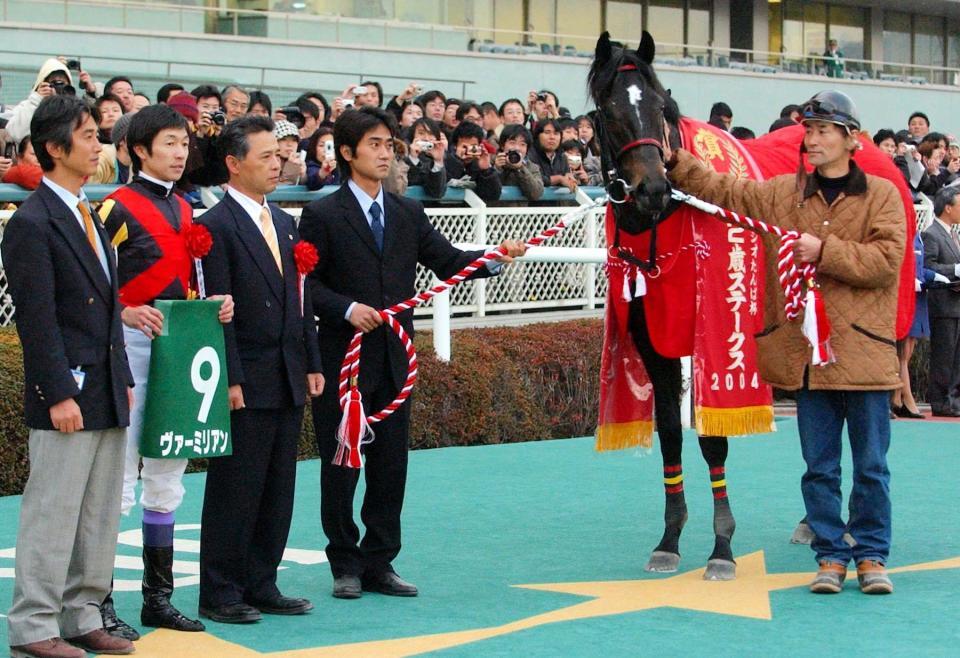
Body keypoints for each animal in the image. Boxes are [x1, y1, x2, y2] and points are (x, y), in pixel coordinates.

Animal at [588, 29, 740, 580]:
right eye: (609, 111)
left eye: (661, 107)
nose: (652, 187)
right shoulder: (652, 340)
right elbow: (671, 433)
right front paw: (670, 538)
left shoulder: (709, 335)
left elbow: (712, 437)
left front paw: (722, 547)